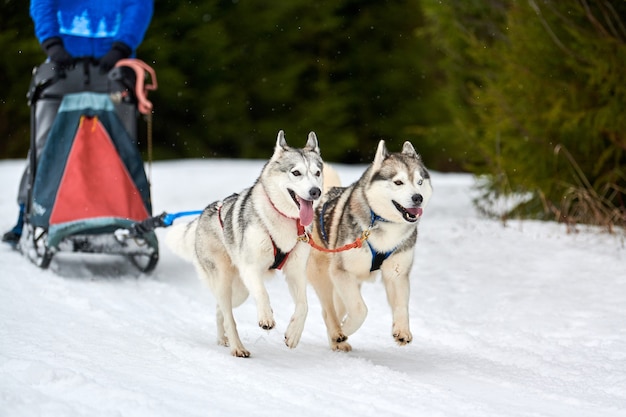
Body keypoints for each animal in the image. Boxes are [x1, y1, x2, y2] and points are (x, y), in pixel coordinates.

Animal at [167, 131, 322, 358]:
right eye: (296, 173)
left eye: (317, 173)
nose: (315, 191)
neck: (285, 219)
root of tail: (203, 215)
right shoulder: (251, 268)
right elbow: (263, 294)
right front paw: (266, 317)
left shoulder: (295, 271)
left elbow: (304, 306)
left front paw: (293, 334)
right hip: (225, 280)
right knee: (228, 315)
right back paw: (237, 347)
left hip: (240, 291)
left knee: (221, 311)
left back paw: (223, 339)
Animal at [306, 141, 428, 352]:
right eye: (398, 182)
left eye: (420, 182)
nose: (418, 197)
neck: (384, 225)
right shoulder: (341, 271)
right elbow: (360, 310)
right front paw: (345, 329)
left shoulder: (397, 274)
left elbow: (401, 306)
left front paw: (402, 331)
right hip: (324, 275)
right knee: (328, 310)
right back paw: (337, 333)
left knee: (336, 308)